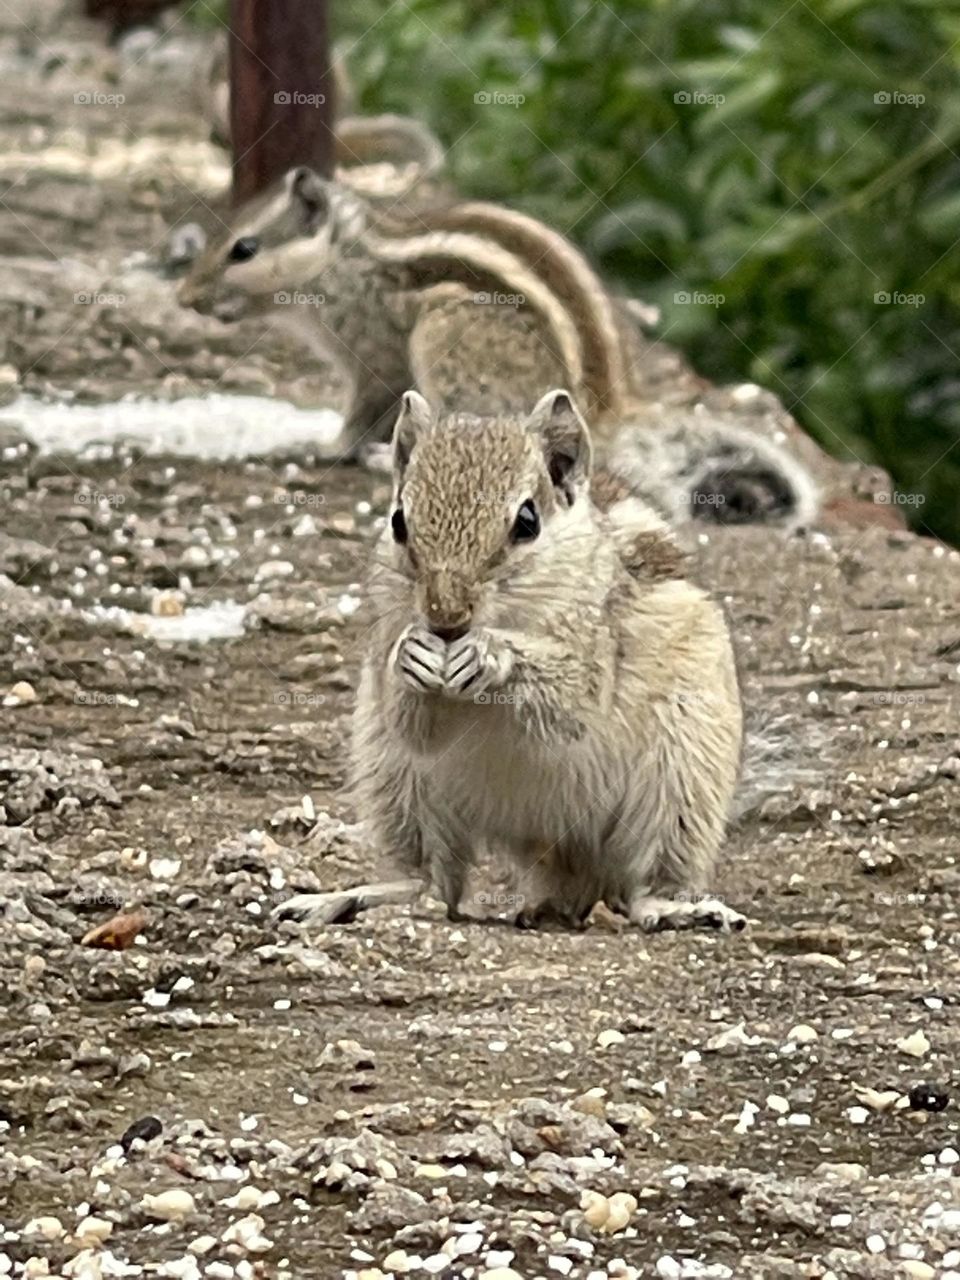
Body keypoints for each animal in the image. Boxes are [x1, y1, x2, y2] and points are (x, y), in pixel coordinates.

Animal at [178, 168, 819, 531]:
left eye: (244, 249)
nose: (185, 296)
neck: (342, 260)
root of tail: (605, 411)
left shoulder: (378, 356)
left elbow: (364, 410)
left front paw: (328, 447)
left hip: (442, 334)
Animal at [277, 388, 746, 932]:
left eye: (527, 522)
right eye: (397, 522)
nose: (446, 617)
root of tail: (567, 866)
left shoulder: (594, 652)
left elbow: (571, 699)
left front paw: (490, 655)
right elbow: (411, 720)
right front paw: (412, 656)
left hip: (683, 776)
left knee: (648, 878)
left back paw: (676, 907)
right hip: (394, 779)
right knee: (433, 881)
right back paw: (355, 897)